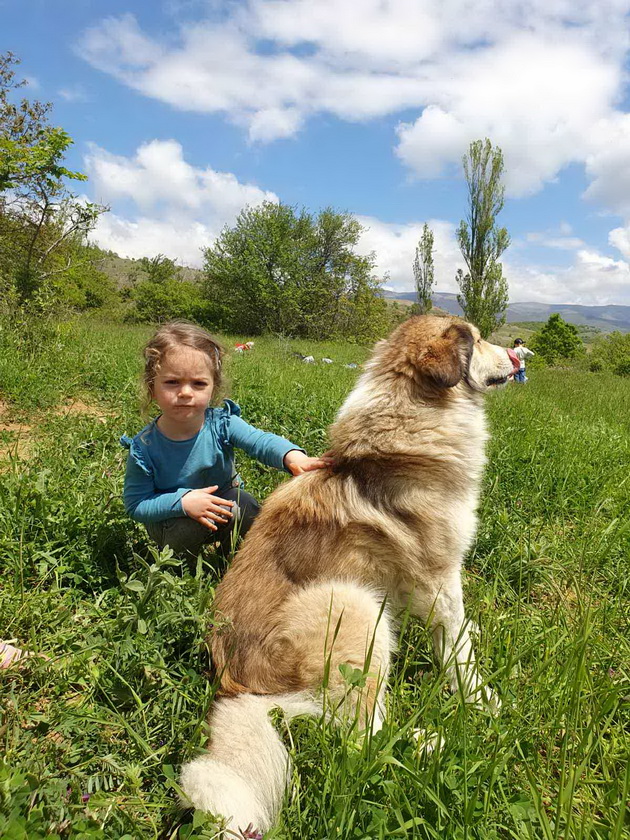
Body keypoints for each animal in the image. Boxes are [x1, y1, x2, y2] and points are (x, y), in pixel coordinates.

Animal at [180, 316, 520, 832]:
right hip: (353, 606)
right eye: (478, 341)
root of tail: (235, 686)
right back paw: (434, 745)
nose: (518, 357)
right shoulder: (440, 576)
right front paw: (484, 703)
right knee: (363, 737)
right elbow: (460, 653)